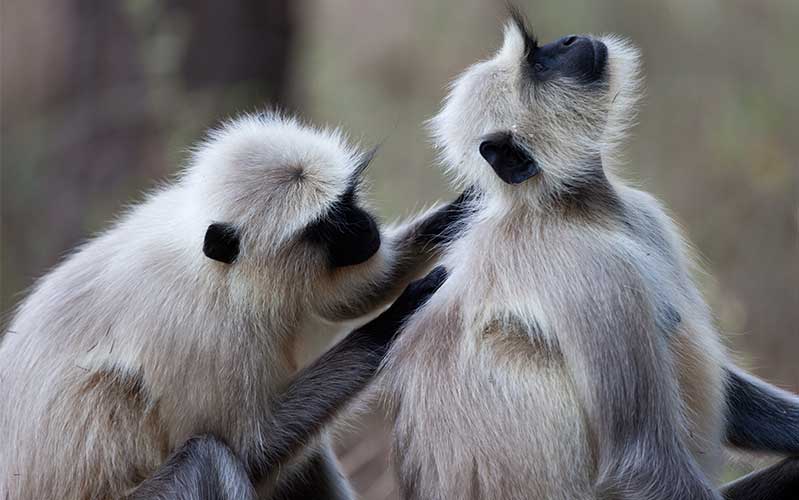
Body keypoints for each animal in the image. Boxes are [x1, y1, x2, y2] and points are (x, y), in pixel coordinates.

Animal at [0, 114, 472, 500]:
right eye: (327, 226)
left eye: (348, 202)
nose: (365, 227)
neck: (216, 271)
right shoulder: (196, 332)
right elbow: (251, 451)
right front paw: (399, 314)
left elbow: (353, 293)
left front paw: (468, 205)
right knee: (209, 457)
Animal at [382, 10, 799, 500]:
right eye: (538, 64)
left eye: (544, 52)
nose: (568, 40)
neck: (573, 208)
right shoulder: (589, 270)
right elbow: (641, 460)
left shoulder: (644, 215)